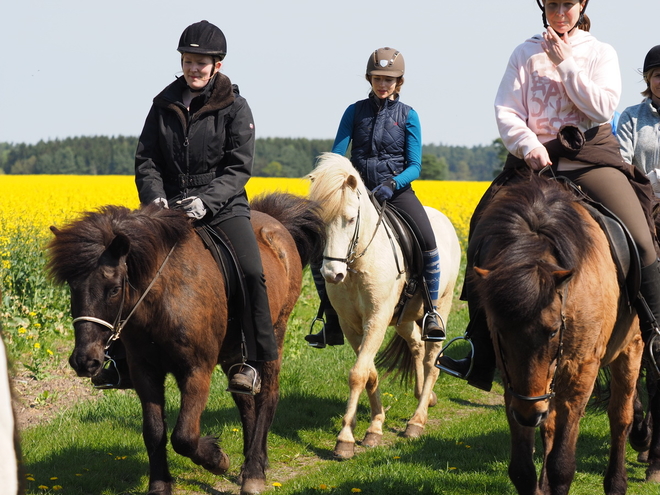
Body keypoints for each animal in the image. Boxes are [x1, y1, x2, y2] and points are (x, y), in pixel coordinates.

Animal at [46, 193, 324, 495]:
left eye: (114, 289)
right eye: (72, 287)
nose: (84, 362)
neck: (164, 298)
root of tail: (275, 222)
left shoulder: (196, 370)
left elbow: (184, 436)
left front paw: (218, 459)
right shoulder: (145, 372)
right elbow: (154, 431)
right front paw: (160, 485)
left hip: (276, 332)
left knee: (267, 396)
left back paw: (253, 472)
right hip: (232, 352)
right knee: (244, 400)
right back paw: (251, 462)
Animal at [308, 153, 458, 460]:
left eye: (351, 219)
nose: (331, 274)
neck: (357, 264)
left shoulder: (376, 320)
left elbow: (358, 374)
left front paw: (345, 439)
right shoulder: (351, 325)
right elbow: (369, 373)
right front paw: (375, 427)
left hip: (442, 306)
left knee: (432, 360)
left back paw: (417, 421)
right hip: (404, 318)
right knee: (416, 346)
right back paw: (423, 396)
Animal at [470, 171, 644, 495]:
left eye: (552, 332)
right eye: (499, 331)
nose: (529, 415)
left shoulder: (581, 374)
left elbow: (562, 465)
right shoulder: (515, 384)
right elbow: (522, 469)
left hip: (631, 349)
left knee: (620, 416)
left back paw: (617, 481)